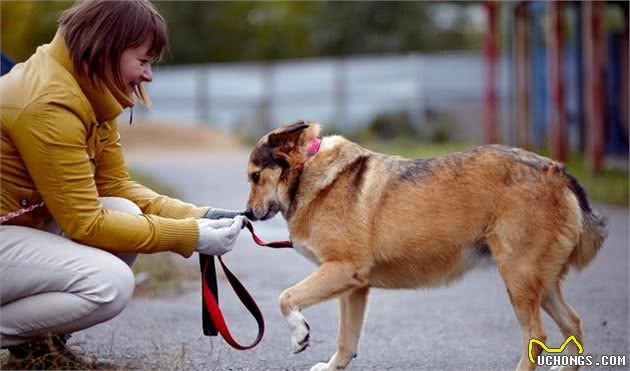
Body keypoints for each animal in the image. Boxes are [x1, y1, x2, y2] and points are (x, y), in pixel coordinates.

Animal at [246, 120, 608, 370]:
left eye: (254, 176)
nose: (247, 214)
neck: (307, 170)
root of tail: (556, 171)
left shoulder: (342, 271)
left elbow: (286, 298)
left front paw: (299, 333)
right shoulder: (354, 288)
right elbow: (346, 340)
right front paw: (334, 365)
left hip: (519, 280)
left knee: (537, 336)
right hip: (540, 284)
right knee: (572, 324)